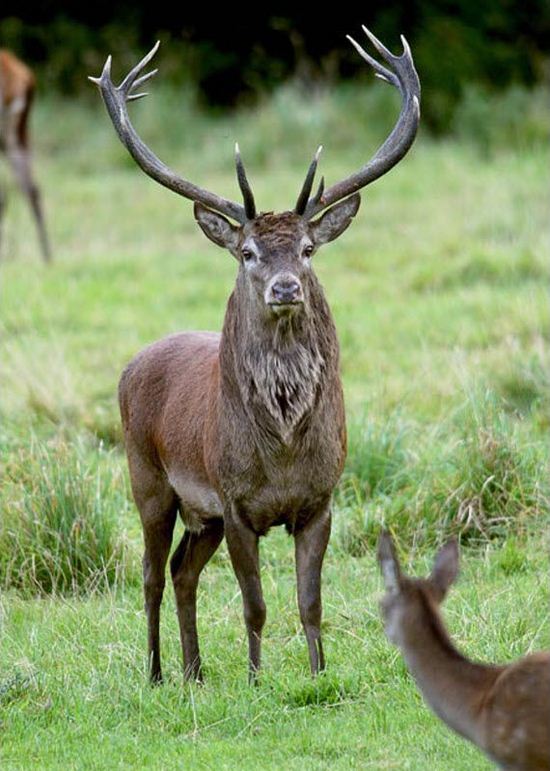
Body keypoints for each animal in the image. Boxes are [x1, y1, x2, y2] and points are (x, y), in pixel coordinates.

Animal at [89, 27, 422, 684]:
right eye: (247, 252)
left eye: (308, 247)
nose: (285, 288)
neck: (284, 450)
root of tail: (132, 364)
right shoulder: (236, 501)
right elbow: (256, 605)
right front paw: (255, 678)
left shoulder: (320, 501)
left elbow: (309, 602)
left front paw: (317, 674)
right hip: (147, 479)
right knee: (149, 574)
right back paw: (157, 673)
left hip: (203, 516)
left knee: (182, 569)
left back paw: (194, 672)